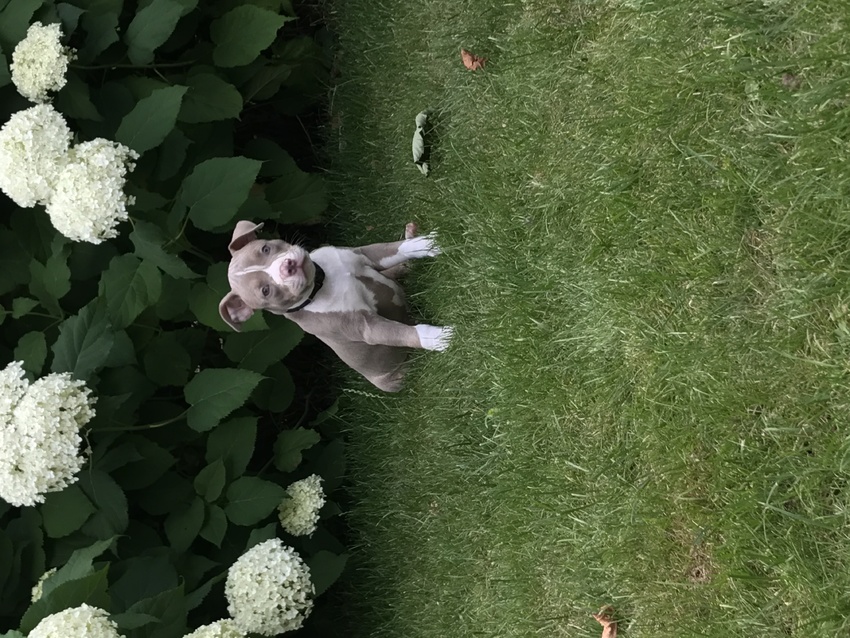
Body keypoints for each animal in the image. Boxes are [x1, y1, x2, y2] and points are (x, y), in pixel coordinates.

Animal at [218, 220, 453, 392]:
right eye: (265, 291)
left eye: (265, 248)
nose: (288, 267)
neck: (323, 281)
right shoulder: (365, 327)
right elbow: (404, 333)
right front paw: (440, 337)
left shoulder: (365, 254)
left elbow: (395, 249)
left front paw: (424, 243)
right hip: (394, 378)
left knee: (400, 268)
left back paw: (410, 236)